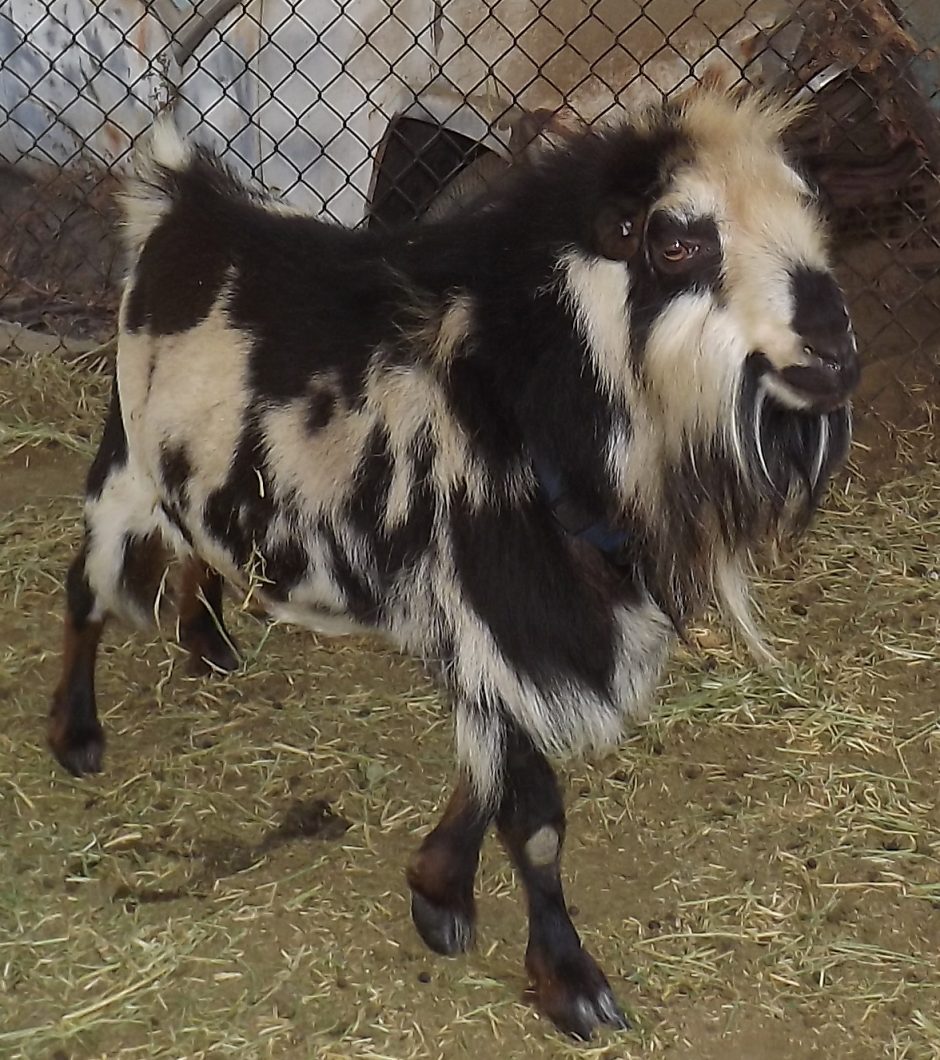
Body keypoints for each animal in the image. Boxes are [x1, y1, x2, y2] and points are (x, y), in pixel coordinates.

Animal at [48, 85, 858, 1040]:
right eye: (676, 240)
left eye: (808, 209)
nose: (834, 351)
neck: (527, 391)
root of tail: (181, 198)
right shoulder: (502, 614)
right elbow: (534, 815)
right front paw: (570, 982)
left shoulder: (510, 631)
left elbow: (491, 768)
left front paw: (438, 892)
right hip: (127, 466)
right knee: (85, 587)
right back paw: (75, 732)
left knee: (197, 544)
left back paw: (207, 641)